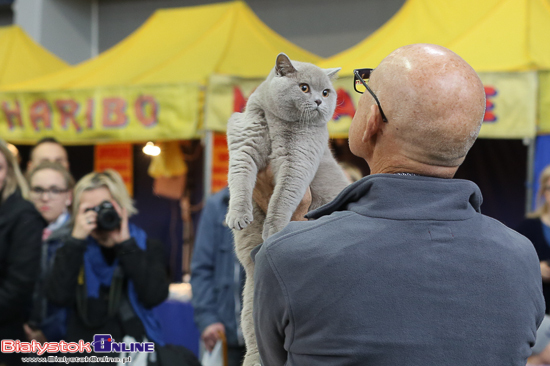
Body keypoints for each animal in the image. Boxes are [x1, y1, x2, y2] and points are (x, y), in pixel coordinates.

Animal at [226, 53, 352, 364]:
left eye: (326, 92)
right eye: (304, 88)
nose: (319, 101)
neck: (277, 124)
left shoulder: (298, 162)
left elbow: (281, 198)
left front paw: (272, 232)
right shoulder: (244, 140)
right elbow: (239, 181)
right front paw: (238, 216)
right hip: (251, 291)